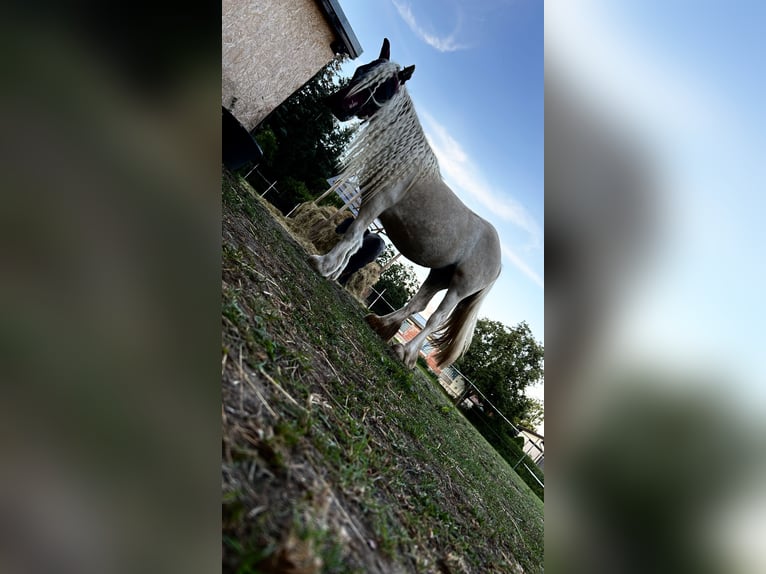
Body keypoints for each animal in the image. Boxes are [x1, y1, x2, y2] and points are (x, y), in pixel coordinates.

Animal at [312, 37, 504, 368]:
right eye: (362, 70)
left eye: (384, 87)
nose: (336, 104)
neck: (402, 160)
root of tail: (500, 259)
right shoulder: (368, 205)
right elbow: (355, 242)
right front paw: (334, 271)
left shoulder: (375, 205)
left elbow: (352, 237)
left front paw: (323, 265)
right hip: (439, 275)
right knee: (418, 303)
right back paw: (381, 325)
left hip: (458, 288)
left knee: (435, 318)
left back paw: (406, 353)